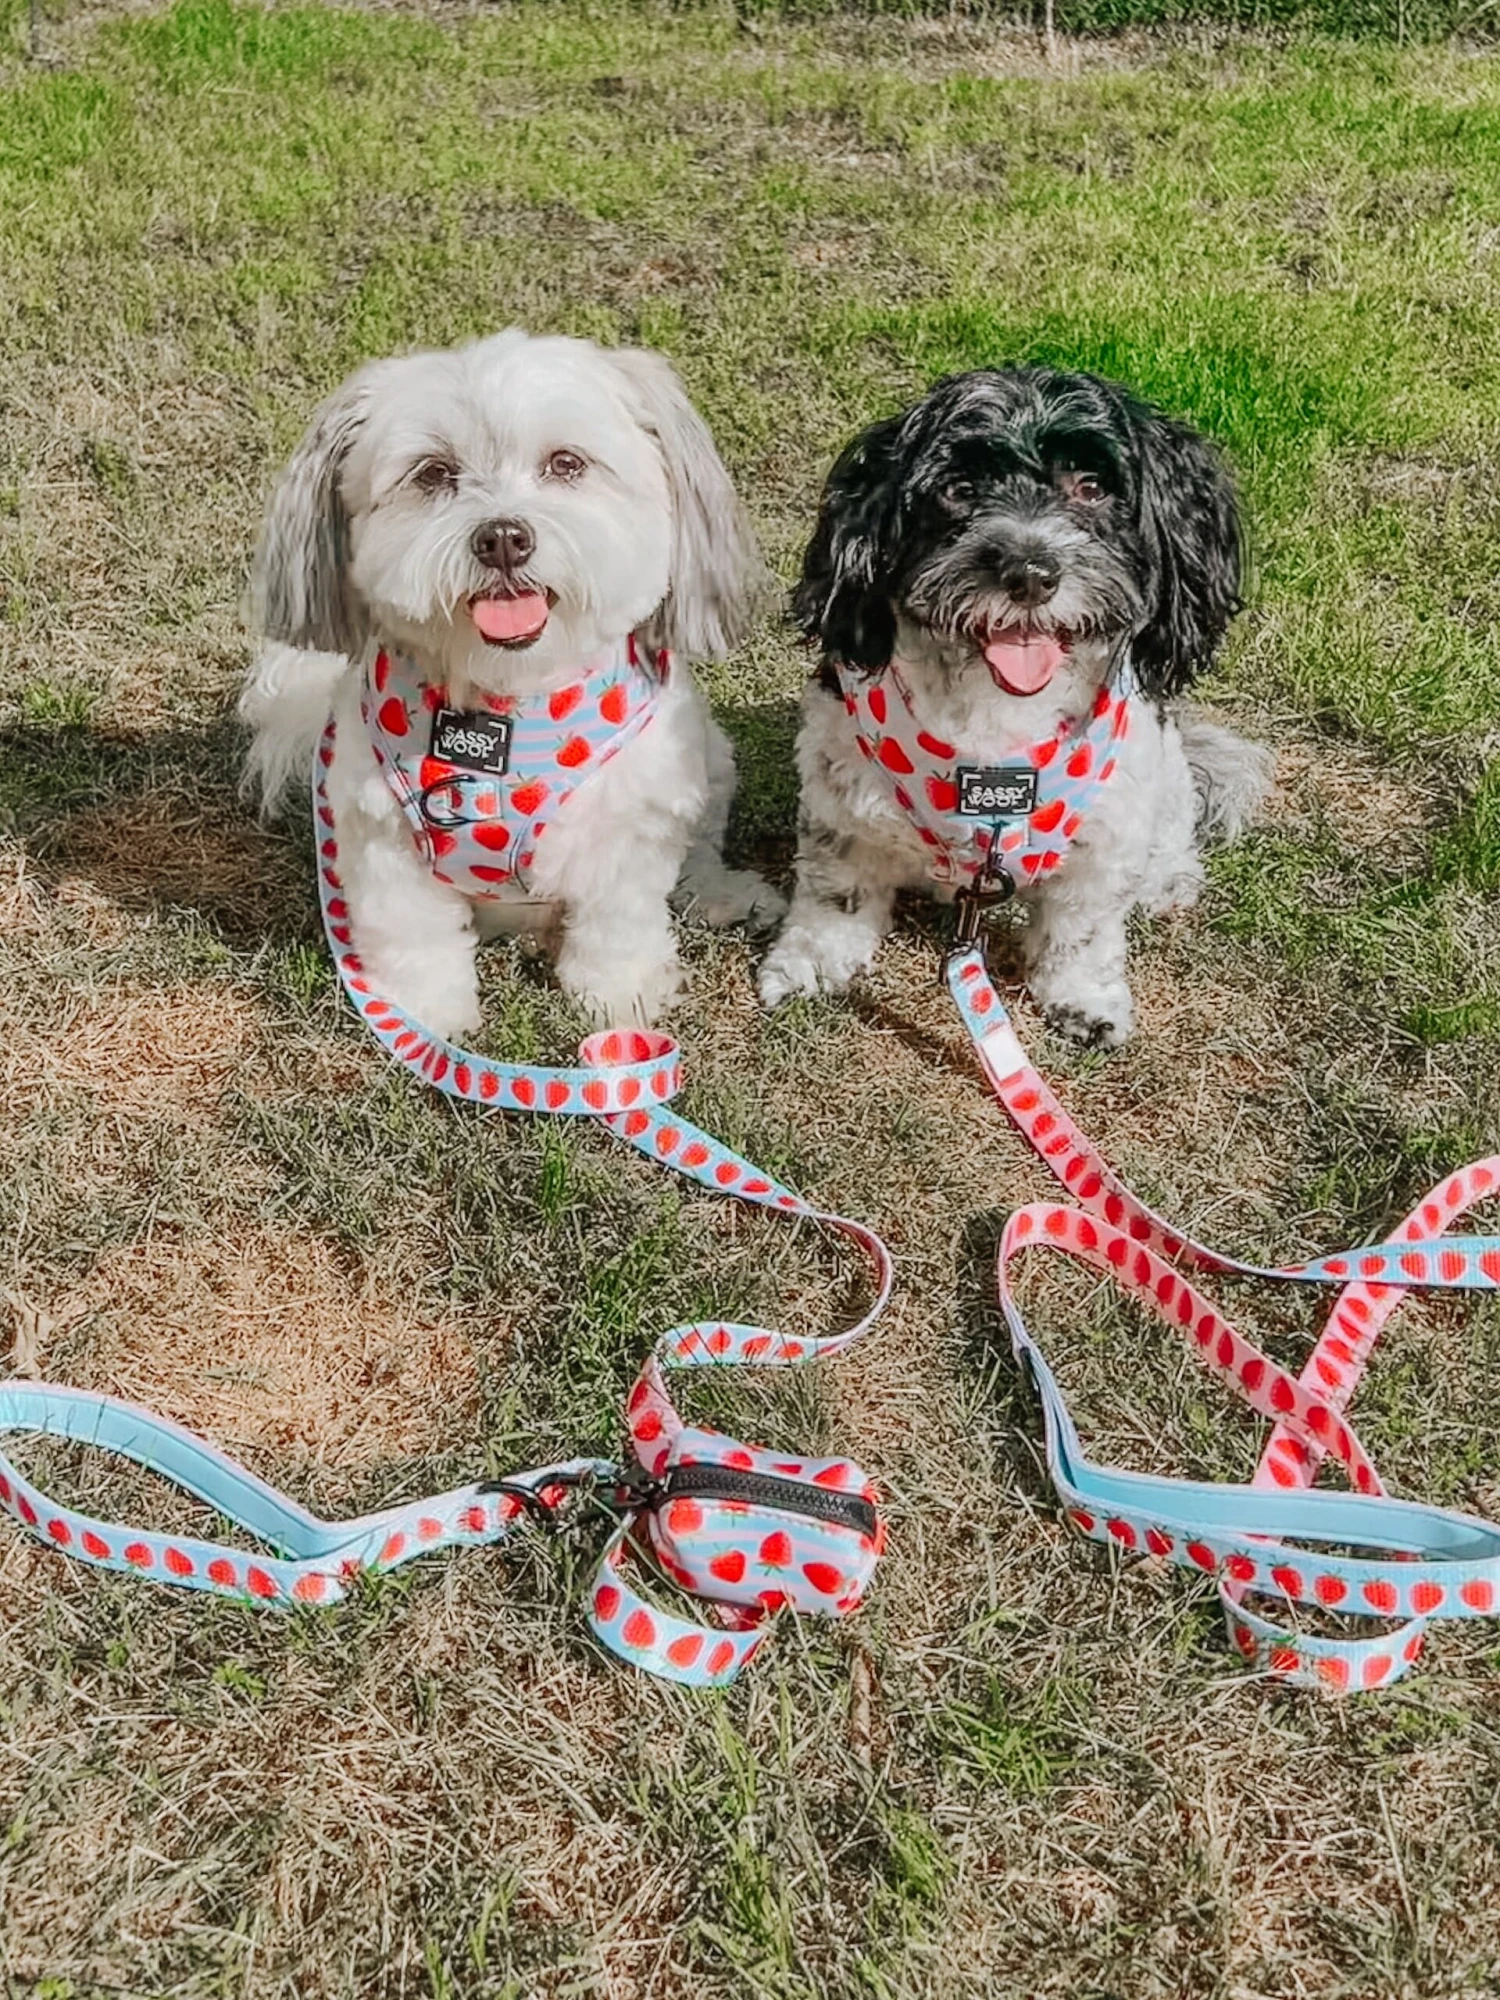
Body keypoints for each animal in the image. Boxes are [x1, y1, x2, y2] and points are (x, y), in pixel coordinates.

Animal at [241, 328, 783, 1034]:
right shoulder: (383, 838)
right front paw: (422, 1019)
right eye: (433, 473)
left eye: (567, 463)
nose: (502, 536)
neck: (506, 702)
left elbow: (617, 925)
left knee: (699, 853)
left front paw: (620, 998)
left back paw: (723, 895)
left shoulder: (631, 828)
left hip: (708, 762)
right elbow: (414, 939)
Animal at [759, 366, 1270, 1046]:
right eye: (959, 489)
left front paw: (1085, 1001)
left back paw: (1169, 881)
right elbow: (833, 897)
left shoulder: (1106, 838)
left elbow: (1083, 932)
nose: (1030, 571)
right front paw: (806, 968)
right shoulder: (841, 803)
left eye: (1091, 487)